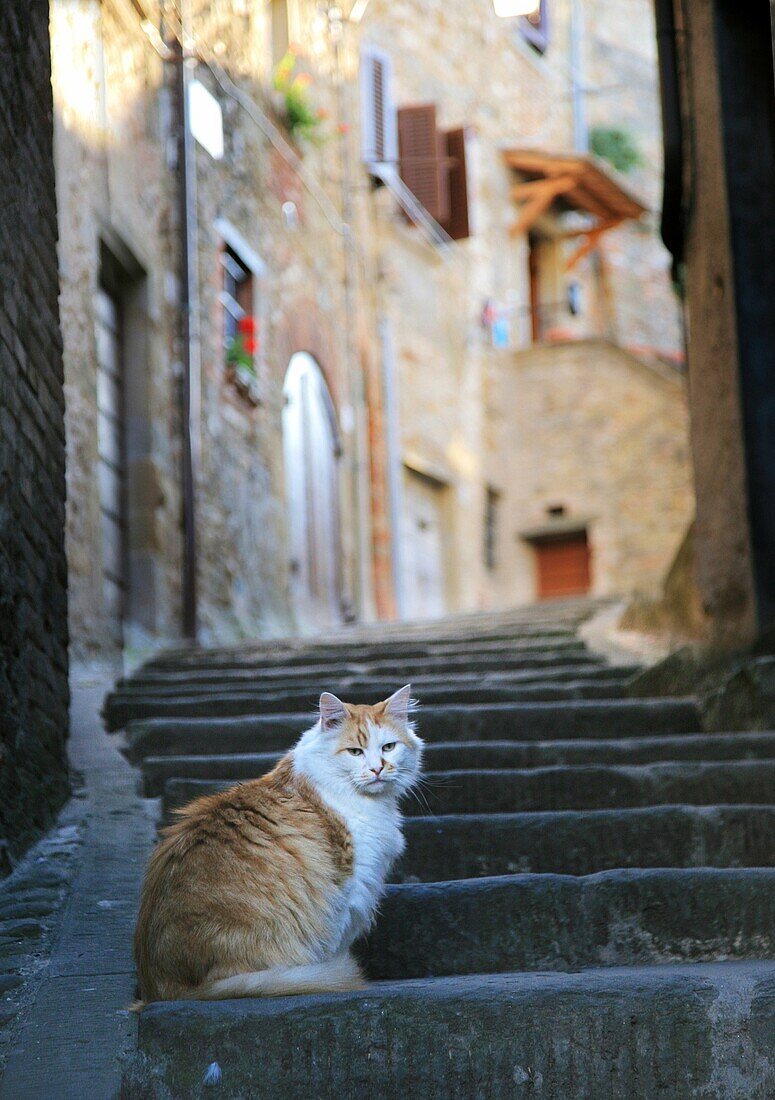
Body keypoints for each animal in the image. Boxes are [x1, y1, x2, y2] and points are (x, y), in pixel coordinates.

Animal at [135, 686, 419, 1007]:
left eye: (388, 747)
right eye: (355, 752)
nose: (377, 769)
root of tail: (162, 990)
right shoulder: (351, 891)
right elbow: (335, 941)